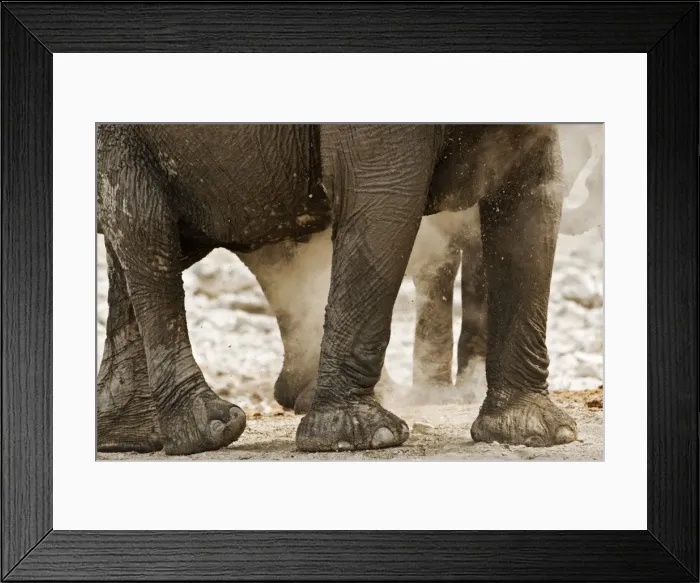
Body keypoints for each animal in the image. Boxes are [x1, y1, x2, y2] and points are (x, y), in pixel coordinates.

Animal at [97, 123, 580, 455]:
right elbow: (382, 200)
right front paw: (363, 438)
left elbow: (533, 193)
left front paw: (536, 433)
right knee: (147, 238)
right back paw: (211, 431)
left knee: (140, 253)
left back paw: (133, 437)